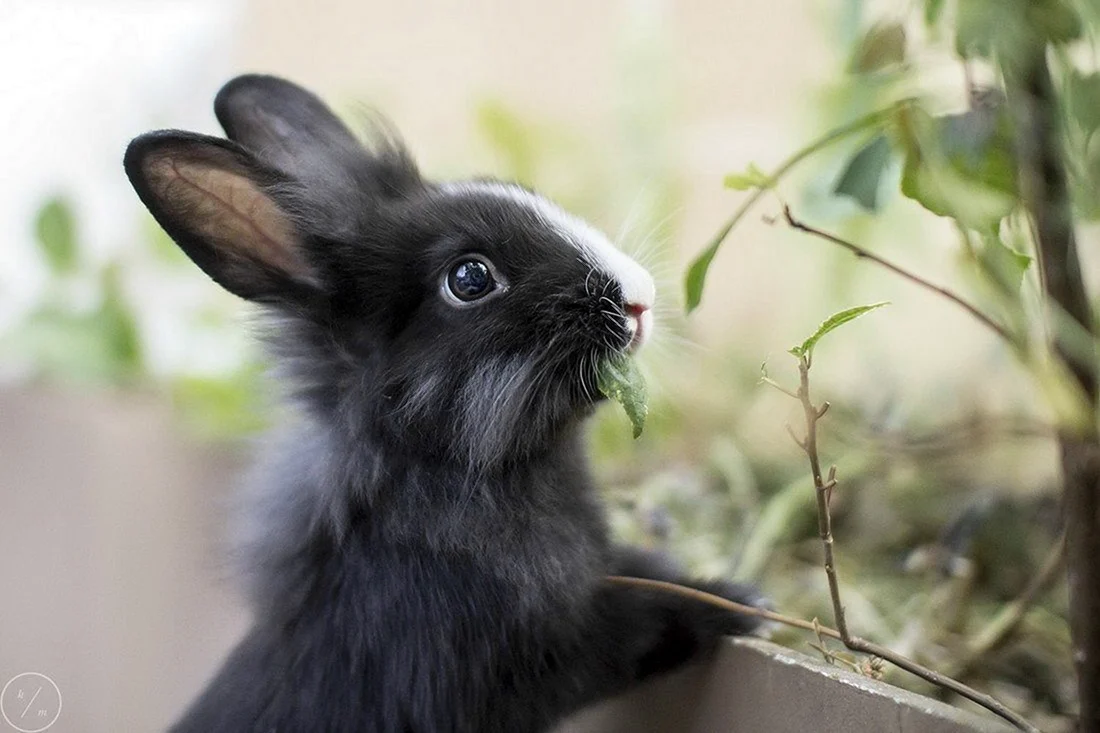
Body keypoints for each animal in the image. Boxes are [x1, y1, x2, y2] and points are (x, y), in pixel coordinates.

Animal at [124, 74, 765, 733]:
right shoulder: (537, 654)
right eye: (469, 279)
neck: (441, 470)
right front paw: (741, 606)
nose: (640, 297)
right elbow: (641, 625)